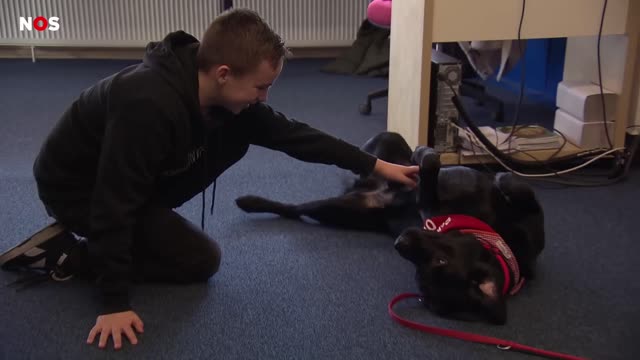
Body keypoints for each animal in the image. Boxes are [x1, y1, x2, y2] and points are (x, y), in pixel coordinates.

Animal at [235, 131, 544, 324]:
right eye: (439, 261)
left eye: (432, 267)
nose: (400, 243)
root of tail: (366, 191)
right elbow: (517, 187)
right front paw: (502, 176)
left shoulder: (427, 205)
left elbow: (429, 171)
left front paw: (426, 157)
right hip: (385, 144)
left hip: (336, 210)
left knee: (295, 210)